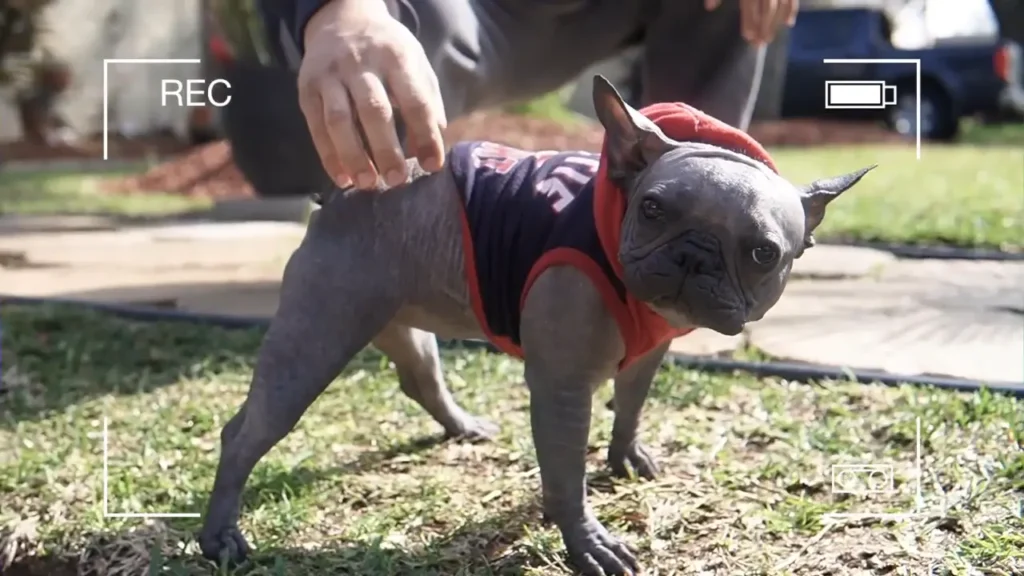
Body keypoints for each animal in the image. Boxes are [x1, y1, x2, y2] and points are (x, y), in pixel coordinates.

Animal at [199, 77, 872, 573]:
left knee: (420, 378)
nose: (693, 254)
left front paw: (626, 457)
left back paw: (462, 425)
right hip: (317, 335)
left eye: (763, 252)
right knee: (247, 432)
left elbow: (630, 407)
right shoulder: (562, 389)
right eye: (653, 209)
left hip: (392, 319)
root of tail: (345, 192)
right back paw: (221, 536)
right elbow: (566, 476)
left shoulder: (646, 358)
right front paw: (588, 543)